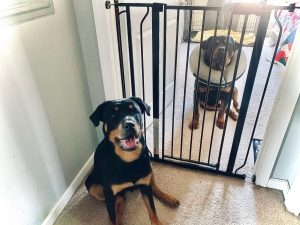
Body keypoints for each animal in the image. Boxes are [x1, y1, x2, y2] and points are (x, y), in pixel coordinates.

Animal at [85, 97, 179, 225]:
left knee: (153, 186)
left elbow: (152, 210)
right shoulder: (108, 194)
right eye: (113, 115)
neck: (128, 160)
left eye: (134, 111)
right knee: (119, 200)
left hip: (149, 168)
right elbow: (112, 217)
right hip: (92, 187)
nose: (129, 125)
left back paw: (169, 199)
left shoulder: (145, 184)